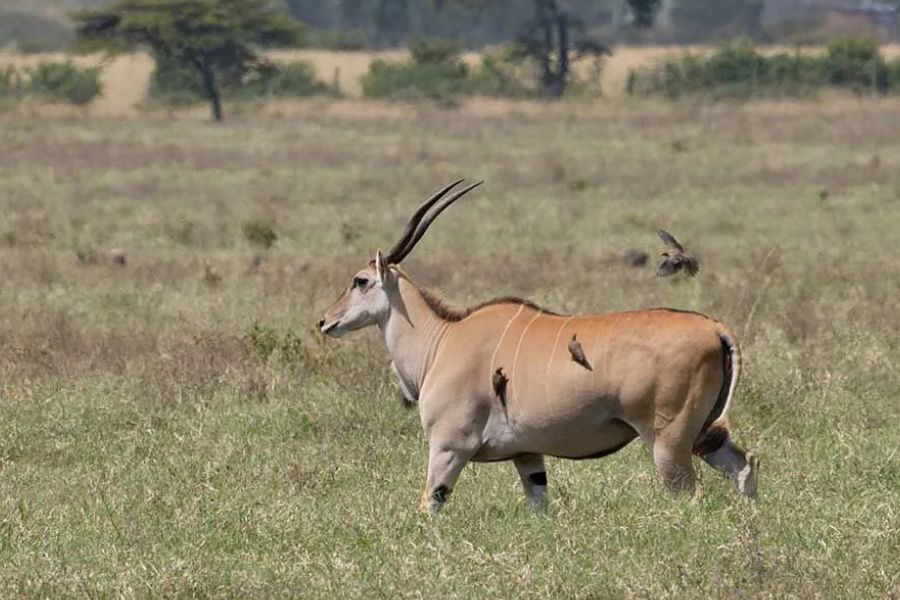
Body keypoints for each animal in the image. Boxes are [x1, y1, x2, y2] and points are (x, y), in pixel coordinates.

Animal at [319, 180, 759, 514]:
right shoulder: (528, 456)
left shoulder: (448, 448)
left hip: (668, 443)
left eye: (360, 280)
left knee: (693, 494)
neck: (443, 339)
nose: (325, 322)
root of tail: (714, 328)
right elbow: (538, 506)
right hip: (704, 437)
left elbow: (429, 505)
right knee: (745, 465)